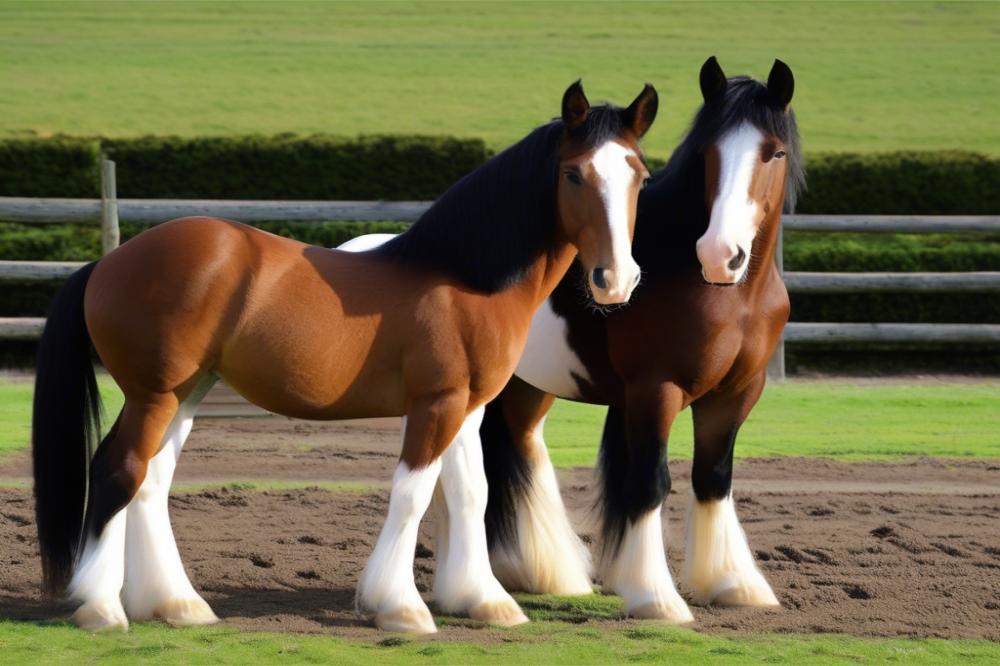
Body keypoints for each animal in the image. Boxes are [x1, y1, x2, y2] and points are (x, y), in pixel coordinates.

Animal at [31, 80, 660, 632]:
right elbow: (412, 494)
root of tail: (108, 262)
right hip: (154, 395)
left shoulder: (468, 407)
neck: (461, 277)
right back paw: (101, 608)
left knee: (151, 482)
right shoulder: (436, 405)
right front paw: (401, 608)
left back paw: (176, 605)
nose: (615, 279)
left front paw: (485, 601)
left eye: (640, 175)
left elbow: (469, 495)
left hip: (187, 393)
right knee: (118, 471)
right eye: (574, 173)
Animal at [454, 55, 804, 616]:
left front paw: (735, 584)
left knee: (520, 444)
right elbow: (649, 484)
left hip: (528, 386)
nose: (719, 254)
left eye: (774, 152)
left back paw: (543, 571)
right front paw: (656, 597)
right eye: (707, 152)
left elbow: (713, 478)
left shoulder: (736, 394)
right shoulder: (654, 391)